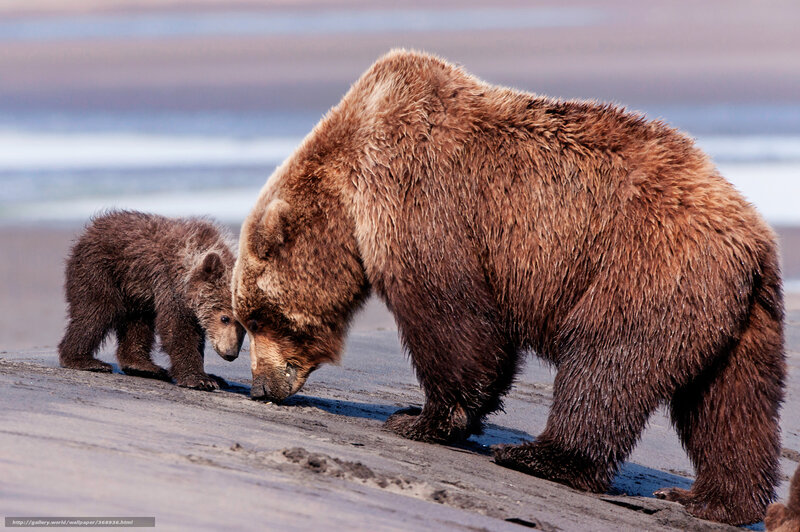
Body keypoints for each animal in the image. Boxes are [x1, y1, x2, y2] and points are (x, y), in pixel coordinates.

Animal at [59, 210, 245, 390]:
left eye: (244, 327)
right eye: (225, 318)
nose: (230, 353)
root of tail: (92, 228)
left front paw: (214, 377)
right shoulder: (171, 283)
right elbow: (178, 328)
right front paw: (200, 379)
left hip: (135, 290)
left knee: (137, 323)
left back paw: (144, 366)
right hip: (101, 268)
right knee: (97, 311)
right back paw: (83, 360)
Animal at [231, 50, 785, 525]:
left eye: (257, 317)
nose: (261, 386)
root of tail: (754, 237)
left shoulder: (420, 195)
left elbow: (453, 319)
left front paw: (418, 418)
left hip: (644, 266)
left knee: (606, 360)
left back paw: (539, 455)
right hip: (740, 317)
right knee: (731, 406)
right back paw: (708, 499)